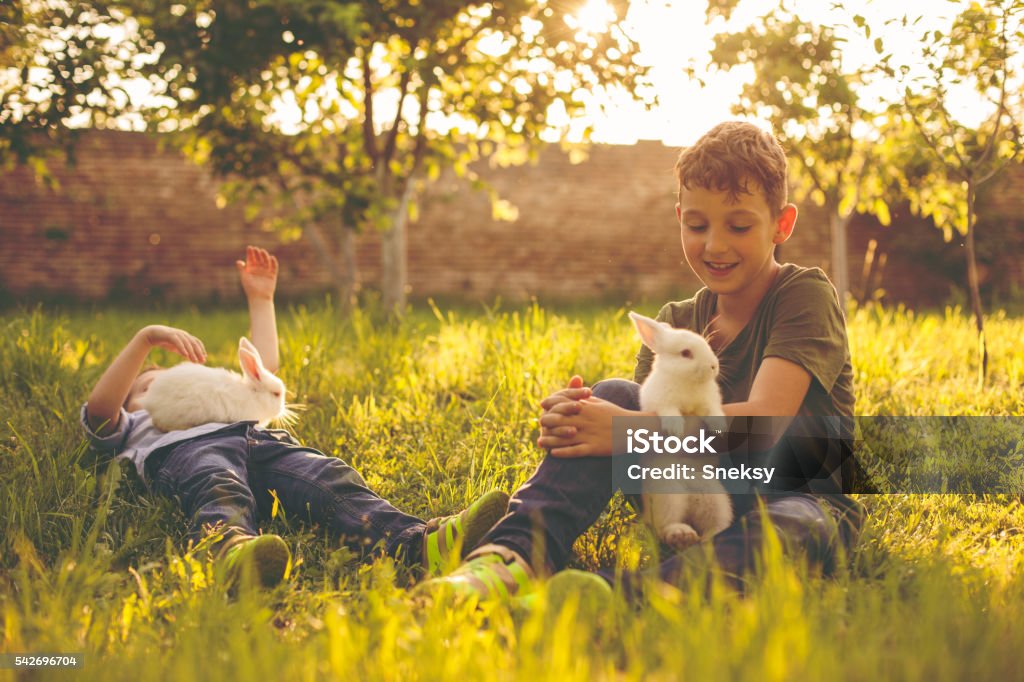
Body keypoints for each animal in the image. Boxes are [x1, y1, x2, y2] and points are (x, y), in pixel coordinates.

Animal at [626, 311, 733, 548]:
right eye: (685, 353)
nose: (713, 366)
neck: (688, 382)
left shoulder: (708, 402)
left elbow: (712, 411)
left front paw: (719, 428)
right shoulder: (660, 402)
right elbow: (669, 411)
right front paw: (675, 430)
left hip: (713, 498)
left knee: (716, 523)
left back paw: (707, 537)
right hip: (668, 496)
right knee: (664, 525)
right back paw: (680, 534)